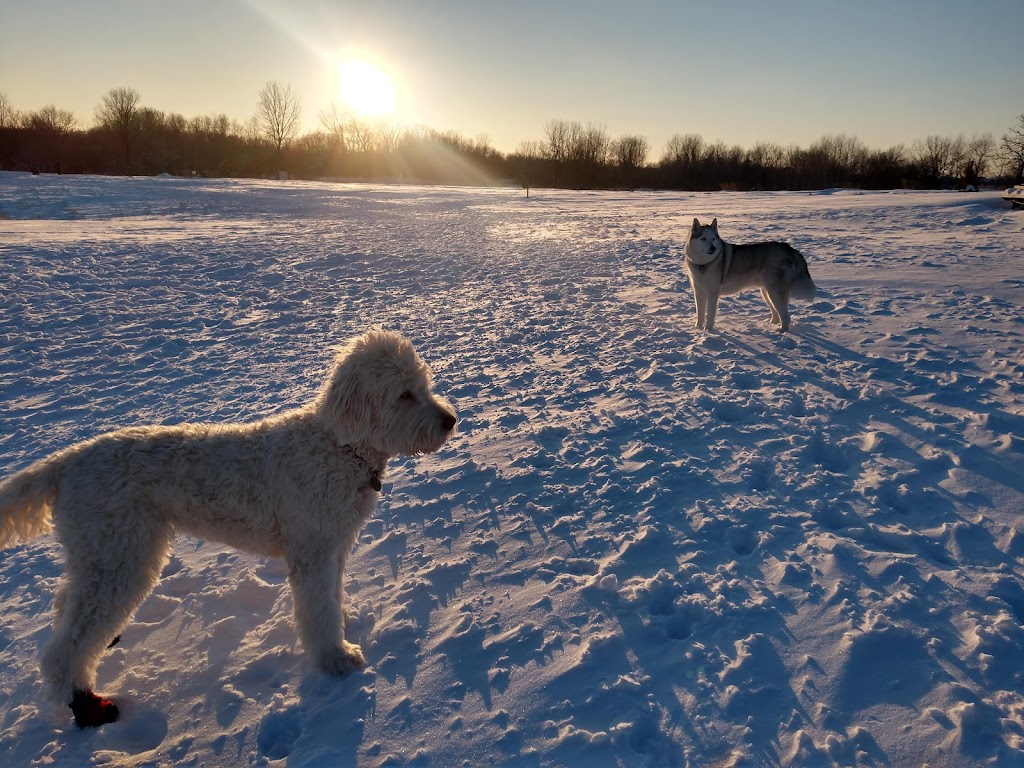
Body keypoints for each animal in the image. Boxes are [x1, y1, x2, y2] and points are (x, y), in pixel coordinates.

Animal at [0, 329, 456, 729]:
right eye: (404, 394)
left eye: (423, 384)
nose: (451, 420)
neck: (338, 447)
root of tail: (66, 462)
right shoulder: (311, 550)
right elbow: (318, 610)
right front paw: (337, 658)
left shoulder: (332, 544)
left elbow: (331, 597)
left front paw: (344, 620)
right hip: (120, 554)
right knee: (67, 645)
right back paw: (84, 702)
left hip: (97, 552)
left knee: (67, 607)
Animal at [684, 219, 819, 333]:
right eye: (703, 239)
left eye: (713, 239)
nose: (713, 248)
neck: (703, 264)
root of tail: (789, 247)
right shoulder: (698, 291)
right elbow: (700, 314)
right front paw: (697, 328)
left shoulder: (713, 293)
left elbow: (710, 315)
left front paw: (708, 330)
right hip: (767, 292)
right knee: (777, 313)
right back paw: (771, 324)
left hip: (774, 292)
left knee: (786, 316)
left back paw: (781, 332)